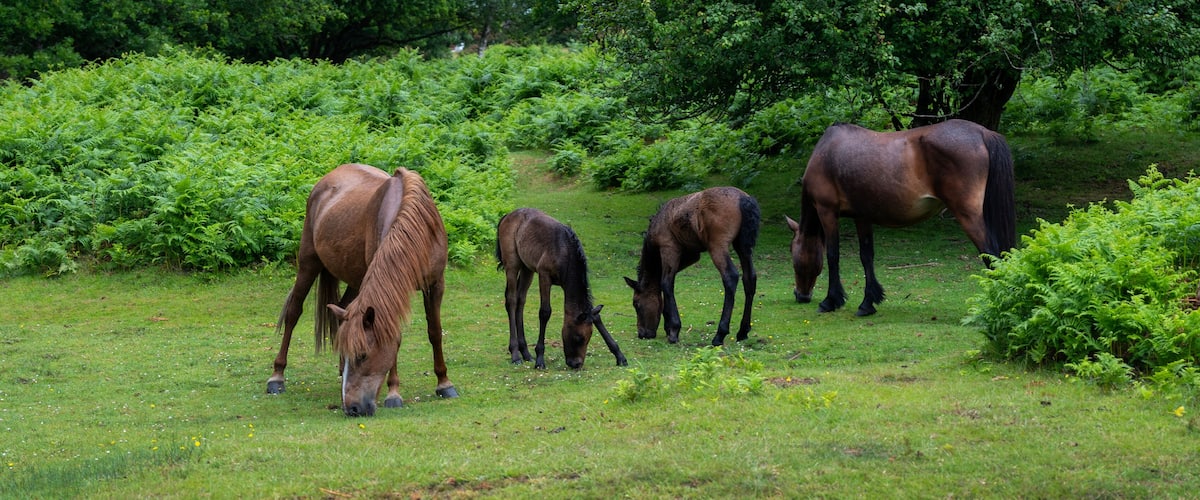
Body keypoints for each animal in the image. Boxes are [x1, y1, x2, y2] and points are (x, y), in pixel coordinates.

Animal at [267, 163, 458, 417]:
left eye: (362, 355)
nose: (352, 408)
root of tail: (326, 180)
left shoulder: (435, 285)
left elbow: (435, 332)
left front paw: (444, 383)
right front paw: (394, 393)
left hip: (356, 280)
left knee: (342, 310)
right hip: (309, 263)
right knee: (293, 313)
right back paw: (277, 377)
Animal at [495, 208, 627, 370]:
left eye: (589, 337)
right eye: (578, 337)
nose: (576, 364)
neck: (565, 251)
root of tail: (507, 215)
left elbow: (596, 316)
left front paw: (619, 355)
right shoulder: (544, 276)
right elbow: (545, 312)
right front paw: (540, 358)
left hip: (527, 268)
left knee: (521, 300)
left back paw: (525, 352)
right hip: (512, 264)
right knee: (512, 300)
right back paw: (515, 354)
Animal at [624, 187, 760, 346]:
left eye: (636, 304)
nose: (642, 334)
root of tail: (745, 200)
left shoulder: (669, 247)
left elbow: (666, 283)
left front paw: (673, 329)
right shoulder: (692, 255)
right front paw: (668, 325)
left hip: (717, 246)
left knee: (731, 277)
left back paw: (720, 334)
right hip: (743, 246)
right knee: (749, 278)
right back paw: (743, 331)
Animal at [785, 119, 1016, 316]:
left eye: (793, 253)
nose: (801, 295)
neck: (827, 153)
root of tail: (983, 132)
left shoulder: (827, 211)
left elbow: (833, 256)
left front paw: (830, 301)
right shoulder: (862, 216)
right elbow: (866, 256)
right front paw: (868, 303)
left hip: (968, 216)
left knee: (991, 254)